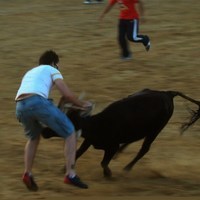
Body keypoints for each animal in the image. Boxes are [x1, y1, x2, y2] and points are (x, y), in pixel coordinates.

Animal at [41, 88, 200, 177]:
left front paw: (109, 174)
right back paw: (121, 155)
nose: (44, 131)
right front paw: (64, 169)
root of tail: (167, 94)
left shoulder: (111, 146)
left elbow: (103, 162)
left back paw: (127, 168)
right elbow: (78, 153)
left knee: (144, 149)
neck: (98, 124)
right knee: (133, 140)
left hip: (155, 130)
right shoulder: (89, 141)